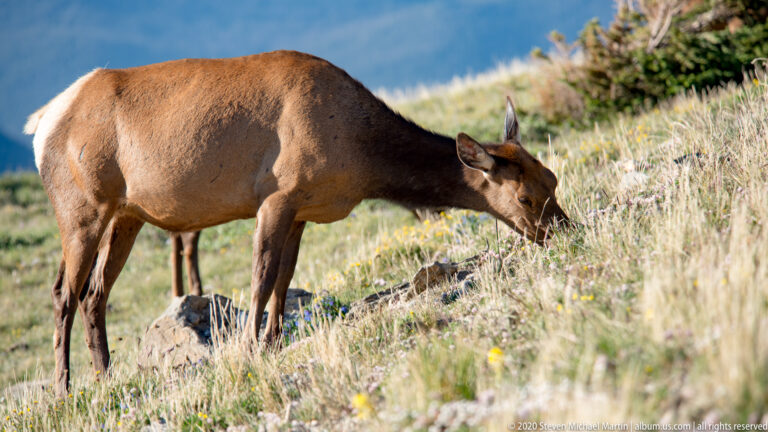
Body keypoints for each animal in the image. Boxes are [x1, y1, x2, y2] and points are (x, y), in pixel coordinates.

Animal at [23, 50, 569, 397]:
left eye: (554, 177)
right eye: (525, 195)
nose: (566, 230)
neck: (360, 155)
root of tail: (41, 122)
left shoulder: (304, 209)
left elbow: (285, 279)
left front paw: (272, 340)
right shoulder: (276, 195)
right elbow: (262, 277)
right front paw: (249, 349)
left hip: (127, 214)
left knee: (96, 292)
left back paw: (106, 376)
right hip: (81, 206)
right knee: (64, 291)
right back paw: (64, 389)